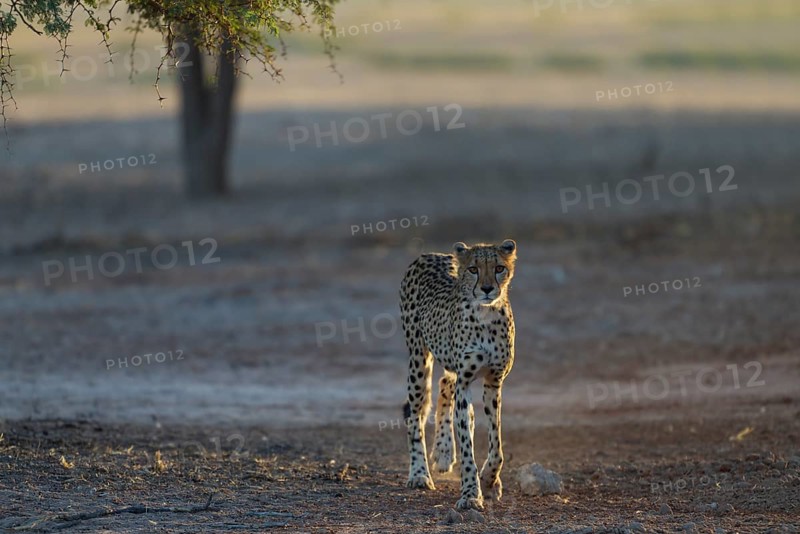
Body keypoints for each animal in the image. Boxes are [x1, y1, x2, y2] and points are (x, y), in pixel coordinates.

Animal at [400, 239, 517, 511]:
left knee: (445, 385)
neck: (485, 314)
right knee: (415, 415)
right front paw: (471, 493)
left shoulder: (493, 382)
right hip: (418, 359)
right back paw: (420, 473)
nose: (486, 289)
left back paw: (443, 452)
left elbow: (497, 444)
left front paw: (489, 480)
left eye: (499, 268)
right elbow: (466, 445)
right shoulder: (465, 381)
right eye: (473, 269)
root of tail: (431, 254)